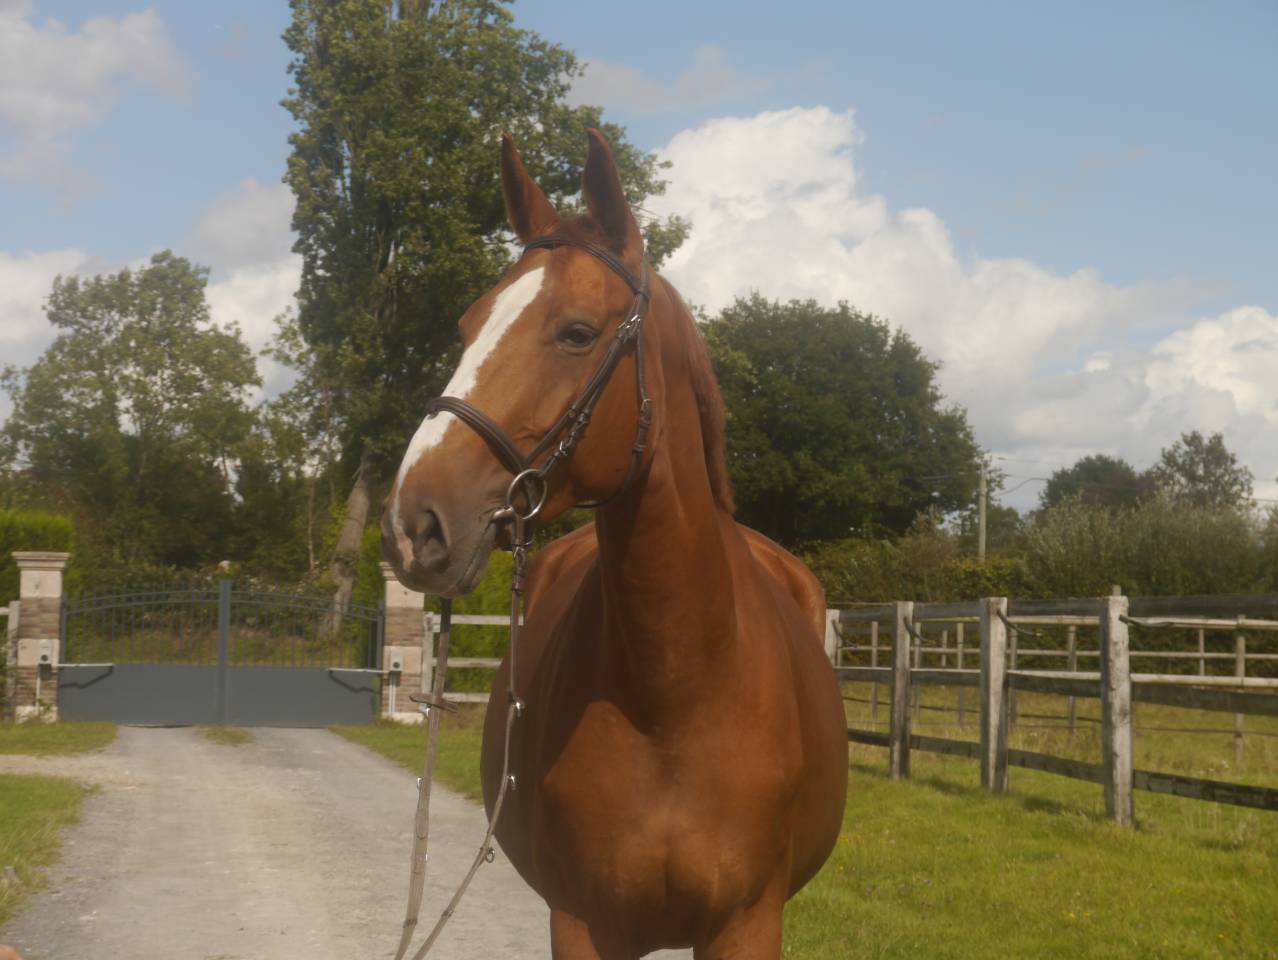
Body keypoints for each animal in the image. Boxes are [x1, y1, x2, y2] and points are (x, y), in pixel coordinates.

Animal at [382, 129, 848, 959]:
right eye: (467, 327)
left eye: (576, 333)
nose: (416, 523)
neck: (677, 691)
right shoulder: (584, 922)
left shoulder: (748, 922)